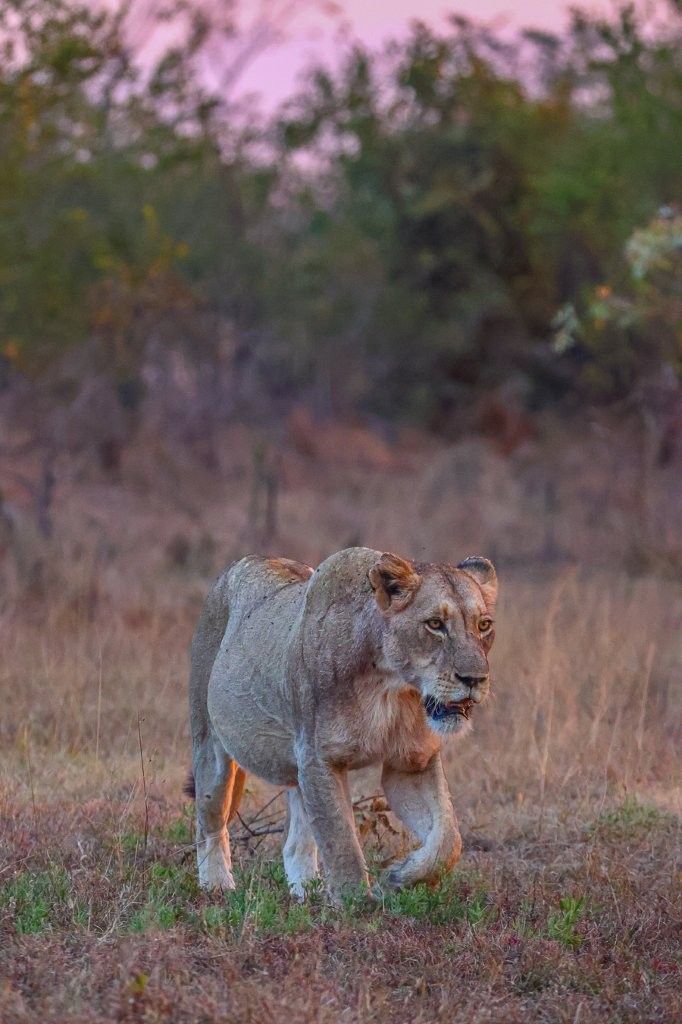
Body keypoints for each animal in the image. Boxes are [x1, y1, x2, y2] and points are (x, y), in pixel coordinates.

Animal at [186, 547, 498, 899]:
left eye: (484, 625)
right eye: (435, 624)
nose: (475, 679)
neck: (391, 686)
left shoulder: (411, 762)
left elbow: (448, 839)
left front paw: (401, 875)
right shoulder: (320, 759)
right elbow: (342, 843)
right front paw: (357, 905)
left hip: (297, 771)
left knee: (295, 842)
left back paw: (306, 896)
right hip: (211, 746)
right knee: (209, 821)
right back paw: (217, 887)